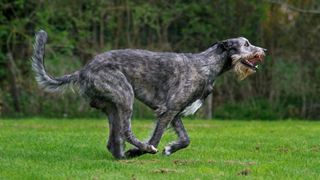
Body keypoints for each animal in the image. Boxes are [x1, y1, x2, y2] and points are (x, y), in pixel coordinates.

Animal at [31, 29, 266, 159]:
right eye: (246, 44)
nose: (264, 51)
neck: (206, 65)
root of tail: (83, 71)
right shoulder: (168, 110)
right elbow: (157, 136)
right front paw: (144, 150)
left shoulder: (176, 113)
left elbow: (185, 139)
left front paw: (170, 149)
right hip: (125, 96)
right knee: (125, 132)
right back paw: (139, 150)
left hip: (112, 106)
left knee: (113, 141)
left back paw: (122, 157)